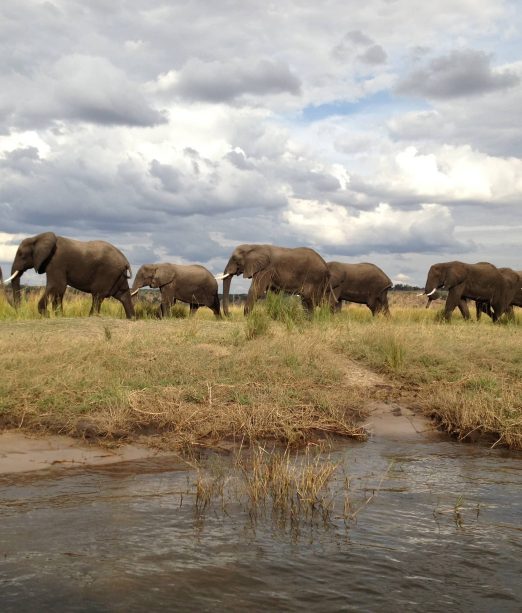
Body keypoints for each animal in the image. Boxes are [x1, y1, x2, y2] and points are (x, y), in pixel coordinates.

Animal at [4, 230, 134, 316]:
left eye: (21, 255)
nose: (19, 309)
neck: (37, 237)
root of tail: (126, 261)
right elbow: (59, 289)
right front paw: (58, 315)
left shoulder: (56, 262)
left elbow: (56, 285)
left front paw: (46, 314)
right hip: (118, 275)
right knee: (123, 295)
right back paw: (131, 318)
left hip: (108, 272)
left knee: (97, 295)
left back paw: (92, 317)